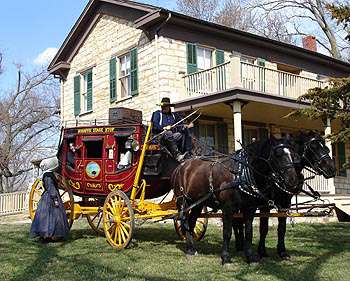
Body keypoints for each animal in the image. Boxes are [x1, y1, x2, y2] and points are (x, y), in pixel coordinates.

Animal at [171, 136, 300, 262]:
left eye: (293, 154)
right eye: (278, 154)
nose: (293, 179)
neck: (240, 174)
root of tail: (180, 166)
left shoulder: (250, 208)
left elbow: (248, 232)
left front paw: (250, 256)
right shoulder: (228, 208)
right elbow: (227, 232)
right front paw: (225, 257)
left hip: (197, 203)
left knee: (191, 223)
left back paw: (192, 248)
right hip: (183, 202)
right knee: (184, 222)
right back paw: (189, 249)